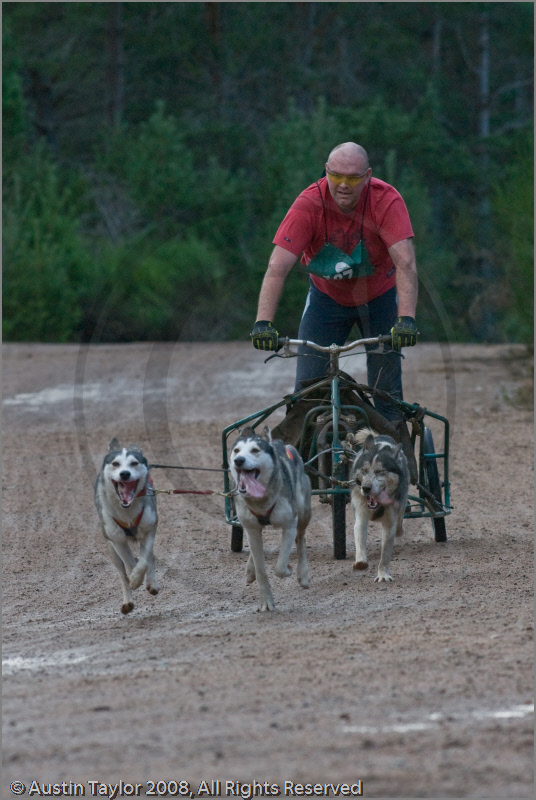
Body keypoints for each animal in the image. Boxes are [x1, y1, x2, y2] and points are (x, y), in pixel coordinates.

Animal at [94, 438, 159, 612]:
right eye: (115, 463)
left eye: (134, 463)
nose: (124, 473)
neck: (127, 511)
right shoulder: (117, 540)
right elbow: (129, 564)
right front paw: (134, 580)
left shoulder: (149, 529)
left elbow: (144, 561)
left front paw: (139, 577)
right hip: (111, 549)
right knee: (122, 573)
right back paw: (128, 600)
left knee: (149, 558)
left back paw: (152, 583)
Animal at [229, 428, 312, 608]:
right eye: (236, 450)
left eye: (255, 450)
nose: (239, 460)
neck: (261, 501)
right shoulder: (251, 528)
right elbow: (261, 570)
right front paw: (266, 602)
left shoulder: (289, 525)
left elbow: (280, 567)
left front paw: (288, 568)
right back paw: (250, 570)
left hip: (304, 513)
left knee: (301, 540)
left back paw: (303, 574)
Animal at [350, 424, 408, 580]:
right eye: (364, 470)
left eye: (380, 471)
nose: (365, 488)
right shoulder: (361, 515)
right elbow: (360, 539)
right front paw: (360, 561)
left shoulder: (389, 522)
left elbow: (385, 554)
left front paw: (383, 574)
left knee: (400, 520)